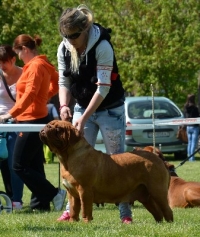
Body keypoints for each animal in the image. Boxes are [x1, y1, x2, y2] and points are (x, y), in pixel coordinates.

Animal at [39, 121, 173, 223]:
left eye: (58, 129)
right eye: (49, 125)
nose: (46, 127)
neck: (67, 158)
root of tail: (158, 158)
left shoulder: (84, 191)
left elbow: (85, 209)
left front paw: (86, 223)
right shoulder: (72, 193)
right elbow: (73, 209)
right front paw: (73, 222)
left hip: (157, 191)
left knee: (167, 210)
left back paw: (169, 224)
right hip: (146, 197)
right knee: (157, 212)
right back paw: (159, 224)